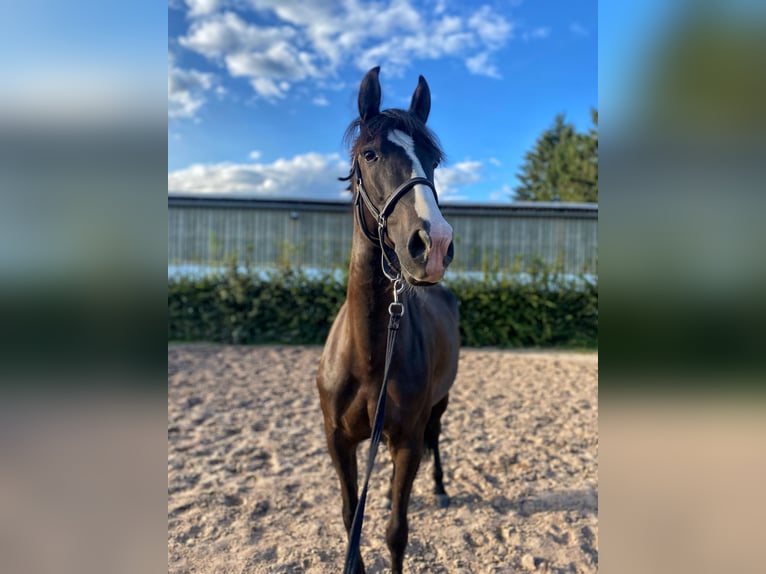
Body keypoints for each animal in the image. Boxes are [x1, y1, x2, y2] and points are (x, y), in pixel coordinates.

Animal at [316, 66, 460, 574]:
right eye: (370, 154)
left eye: (434, 160)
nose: (433, 244)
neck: (370, 353)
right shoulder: (338, 442)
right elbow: (349, 522)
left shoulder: (406, 441)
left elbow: (397, 532)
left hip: (439, 405)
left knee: (437, 437)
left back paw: (439, 488)